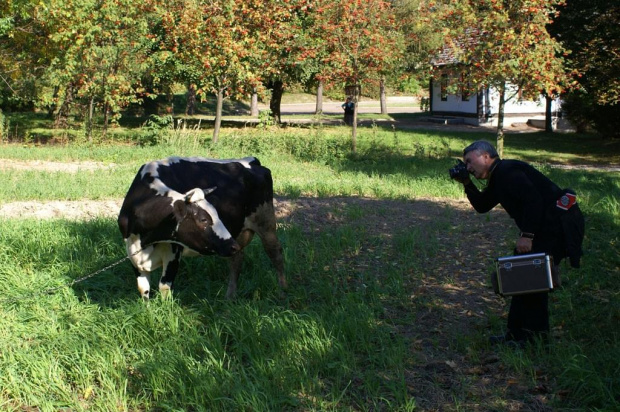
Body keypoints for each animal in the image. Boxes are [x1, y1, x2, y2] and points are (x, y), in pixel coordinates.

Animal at [117, 156, 286, 298]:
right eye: (203, 219)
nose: (231, 245)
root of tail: (250, 161)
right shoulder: (132, 251)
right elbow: (143, 289)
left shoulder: (174, 251)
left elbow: (164, 287)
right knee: (237, 259)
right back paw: (230, 297)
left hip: (266, 223)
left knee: (276, 254)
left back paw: (282, 292)